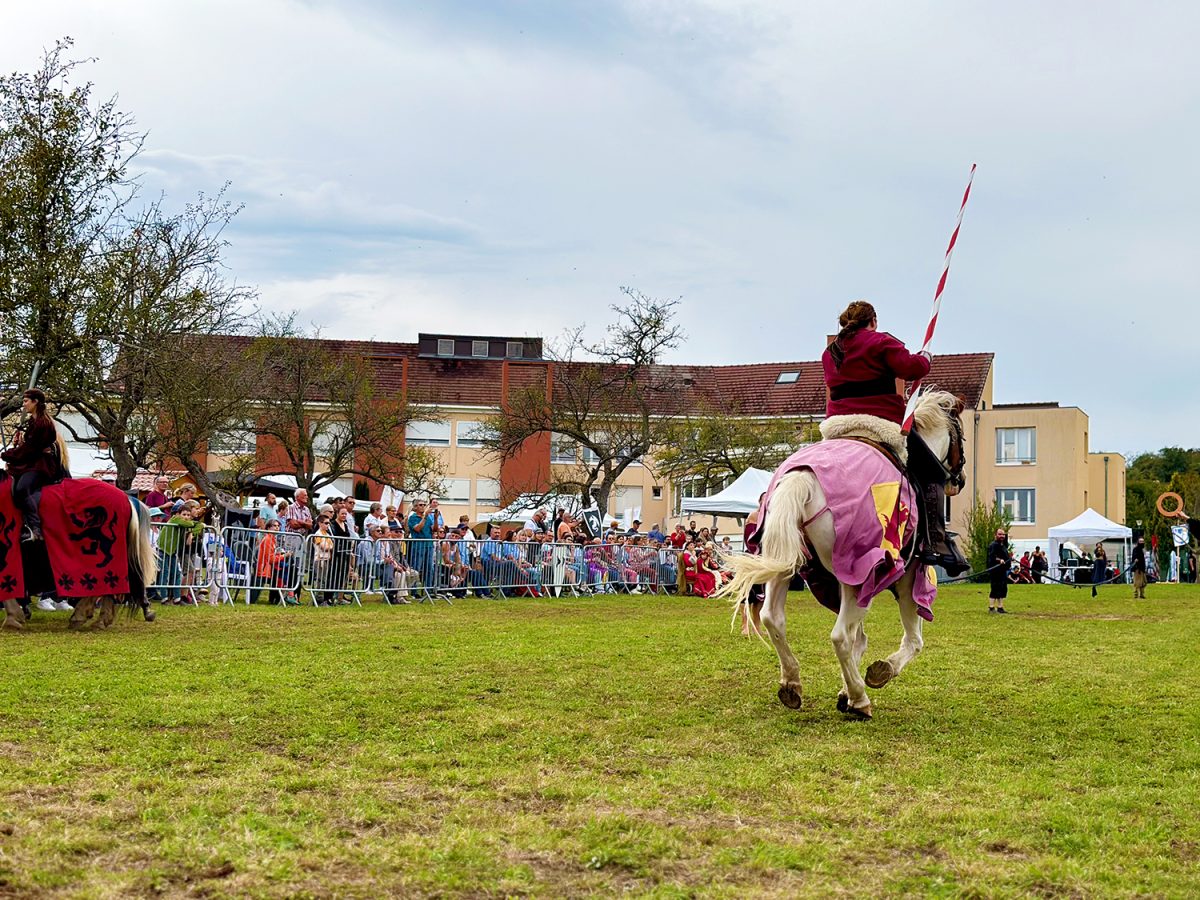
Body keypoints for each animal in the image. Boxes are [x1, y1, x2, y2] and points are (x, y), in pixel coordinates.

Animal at [720, 391, 964, 724]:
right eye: (960, 435)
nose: (958, 480)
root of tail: (802, 479)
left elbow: (862, 638)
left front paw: (845, 690)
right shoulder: (908, 577)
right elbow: (912, 641)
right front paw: (876, 674)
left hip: (784, 562)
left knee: (773, 618)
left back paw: (792, 685)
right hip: (857, 576)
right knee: (840, 637)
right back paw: (861, 701)